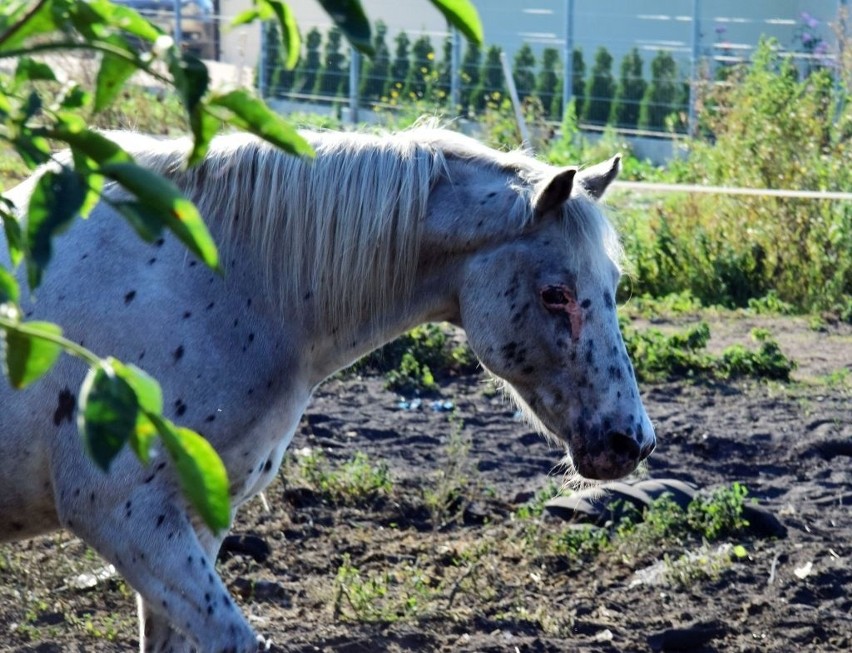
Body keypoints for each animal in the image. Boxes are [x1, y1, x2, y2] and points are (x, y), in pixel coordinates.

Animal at [0, 125, 656, 648]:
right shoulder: (123, 513)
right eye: (555, 294)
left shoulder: (194, 518)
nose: (632, 441)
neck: (220, 280)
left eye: (613, 284)